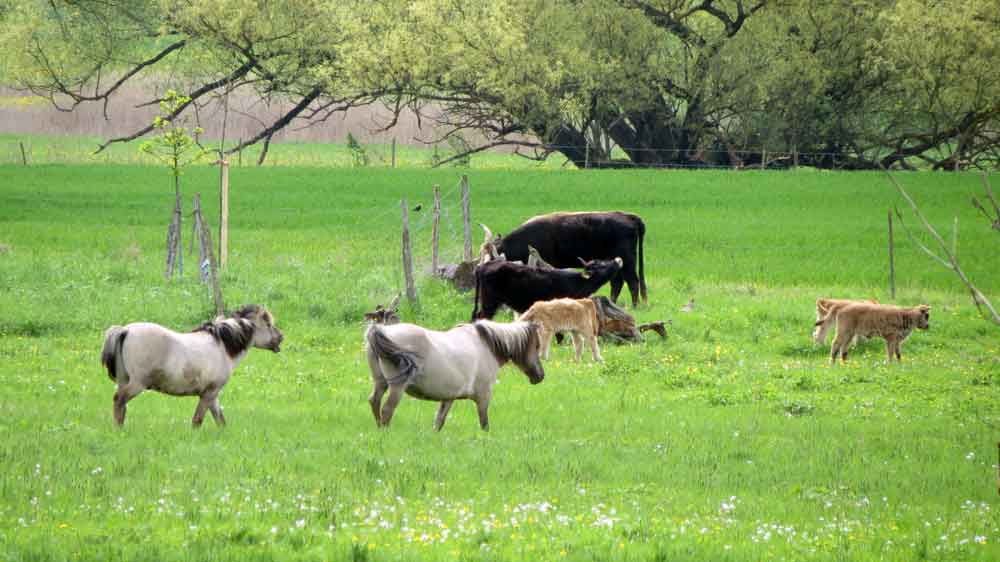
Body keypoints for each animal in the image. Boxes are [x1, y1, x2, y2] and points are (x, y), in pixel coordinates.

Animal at [101, 304, 284, 426]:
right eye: (268, 324)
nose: (281, 338)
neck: (222, 347)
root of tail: (125, 330)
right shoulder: (209, 393)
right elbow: (198, 420)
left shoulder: (212, 395)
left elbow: (220, 420)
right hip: (137, 384)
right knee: (119, 400)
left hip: (124, 380)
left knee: (122, 407)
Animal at [364, 320, 544, 428]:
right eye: (536, 346)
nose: (540, 375)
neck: (486, 345)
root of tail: (381, 330)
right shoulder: (484, 395)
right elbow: (484, 423)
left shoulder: (448, 397)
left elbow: (439, 421)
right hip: (397, 387)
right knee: (387, 409)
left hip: (380, 382)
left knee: (374, 402)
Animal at [472, 255, 620, 320]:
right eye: (602, 265)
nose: (616, 260)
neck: (576, 282)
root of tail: (483, 266)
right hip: (489, 301)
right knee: (483, 316)